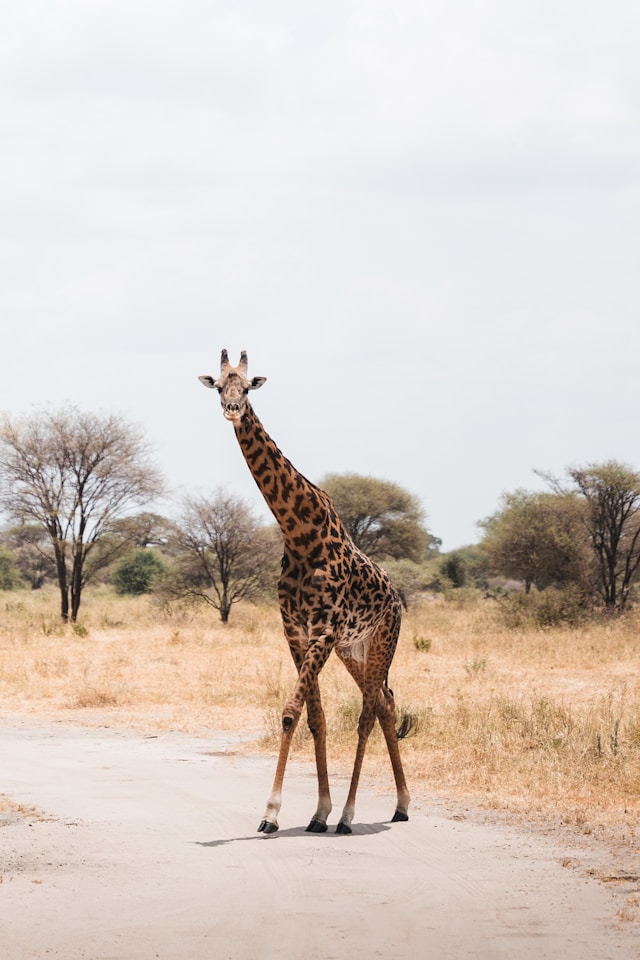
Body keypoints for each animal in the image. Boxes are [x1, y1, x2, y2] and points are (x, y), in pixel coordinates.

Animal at [199, 349, 410, 835]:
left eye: (248, 387)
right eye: (218, 386)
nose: (232, 409)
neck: (298, 532)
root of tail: (397, 598)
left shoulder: (323, 630)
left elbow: (290, 711)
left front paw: (271, 813)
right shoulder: (295, 631)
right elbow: (314, 716)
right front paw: (317, 812)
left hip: (381, 642)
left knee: (368, 712)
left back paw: (352, 816)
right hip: (356, 649)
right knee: (386, 702)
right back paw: (401, 806)